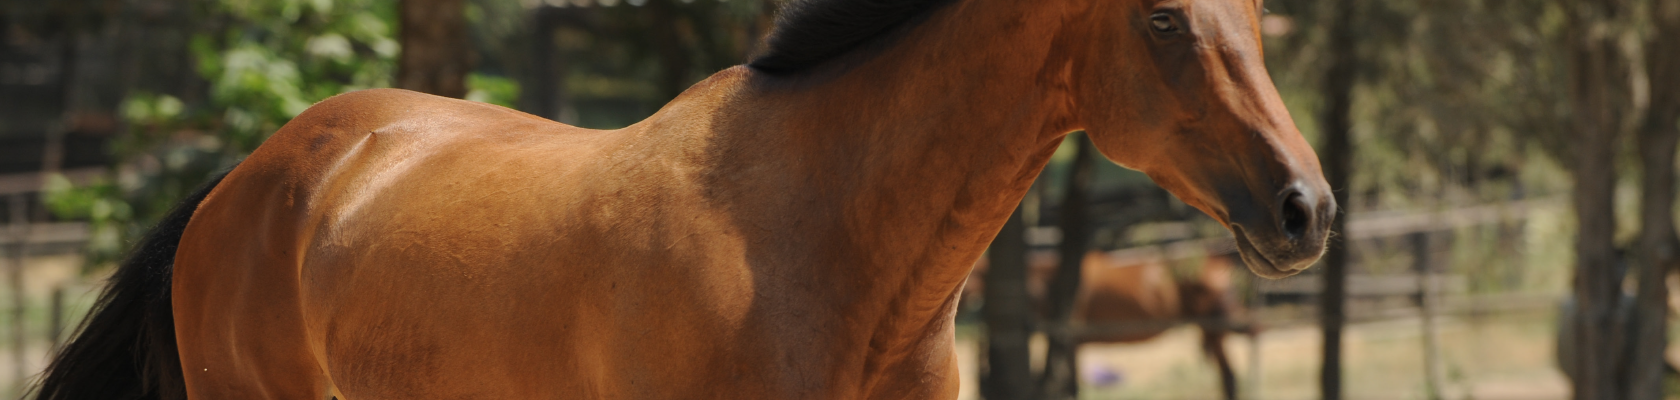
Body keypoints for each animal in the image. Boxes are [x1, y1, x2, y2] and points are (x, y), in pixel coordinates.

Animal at [962, 249, 1256, 399]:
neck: (1051, 281)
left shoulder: (1071, 338)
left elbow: (1073, 387)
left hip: (1219, 325)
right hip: (1212, 330)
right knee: (1228, 377)